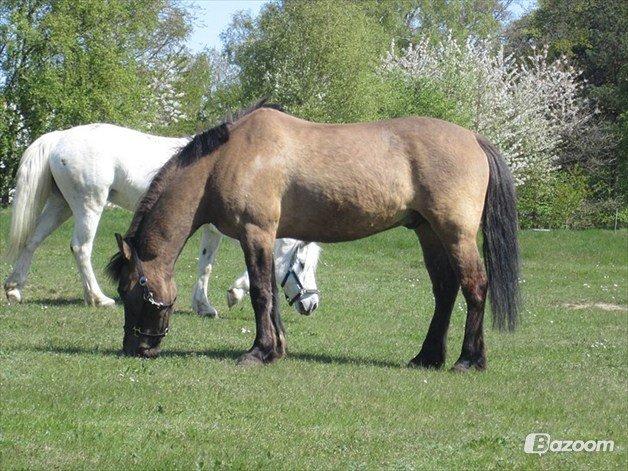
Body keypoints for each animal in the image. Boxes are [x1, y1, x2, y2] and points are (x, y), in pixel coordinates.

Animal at [2, 124, 322, 318]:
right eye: (302, 264)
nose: (312, 304)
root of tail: (60, 137)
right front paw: (227, 296)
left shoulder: (213, 230)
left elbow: (206, 265)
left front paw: (207, 304)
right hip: (88, 205)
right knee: (81, 248)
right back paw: (98, 298)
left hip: (61, 205)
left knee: (32, 241)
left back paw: (14, 289)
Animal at [108, 100, 520, 372]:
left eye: (131, 290)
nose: (135, 346)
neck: (228, 158)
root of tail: (474, 139)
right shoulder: (265, 237)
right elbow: (271, 293)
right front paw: (275, 349)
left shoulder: (255, 232)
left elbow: (261, 293)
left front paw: (258, 352)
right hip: (429, 233)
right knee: (445, 290)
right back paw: (428, 356)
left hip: (456, 235)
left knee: (474, 286)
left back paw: (469, 359)